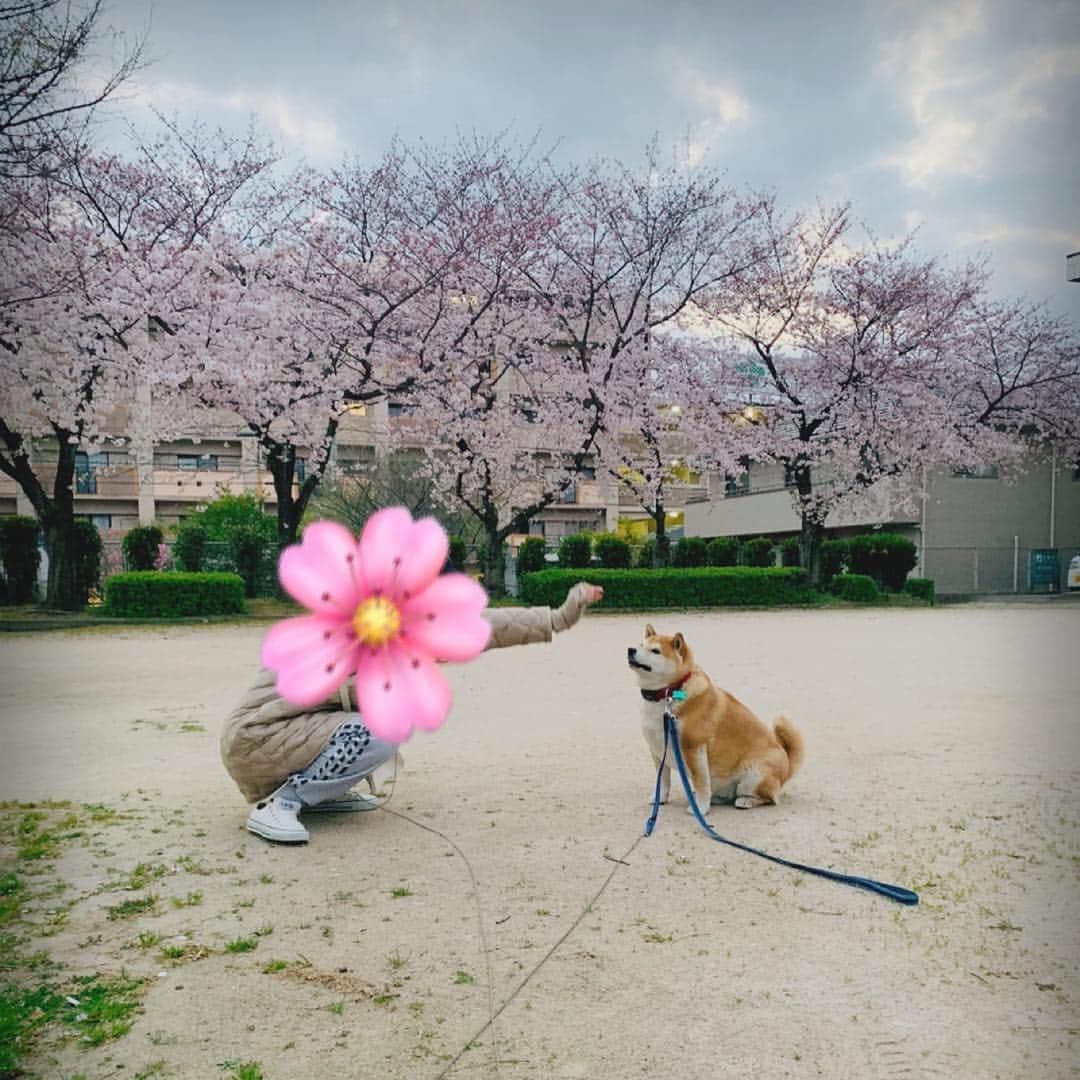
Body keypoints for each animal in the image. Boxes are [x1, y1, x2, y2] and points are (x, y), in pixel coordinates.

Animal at [626, 626, 803, 812]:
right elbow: (662, 781)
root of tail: (787, 768)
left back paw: (745, 800)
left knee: (769, 798)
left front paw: (700, 809)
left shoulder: (694, 748)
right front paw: (660, 799)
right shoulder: (658, 750)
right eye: (640, 644)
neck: (669, 692)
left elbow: (701, 783)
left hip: (755, 775)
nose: (630, 650)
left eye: (655, 651)